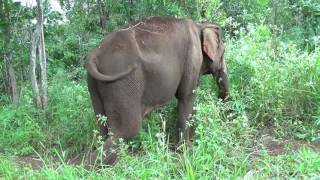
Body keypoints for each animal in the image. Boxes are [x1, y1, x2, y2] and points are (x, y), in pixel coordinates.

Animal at [85, 16, 228, 165]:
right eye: (223, 52)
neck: (200, 25)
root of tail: (94, 54)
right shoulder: (192, 59)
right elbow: (186, 97)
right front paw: (187, 150)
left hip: (95, 85)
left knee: (103, 127)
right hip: (121, 84)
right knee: (126, 130)